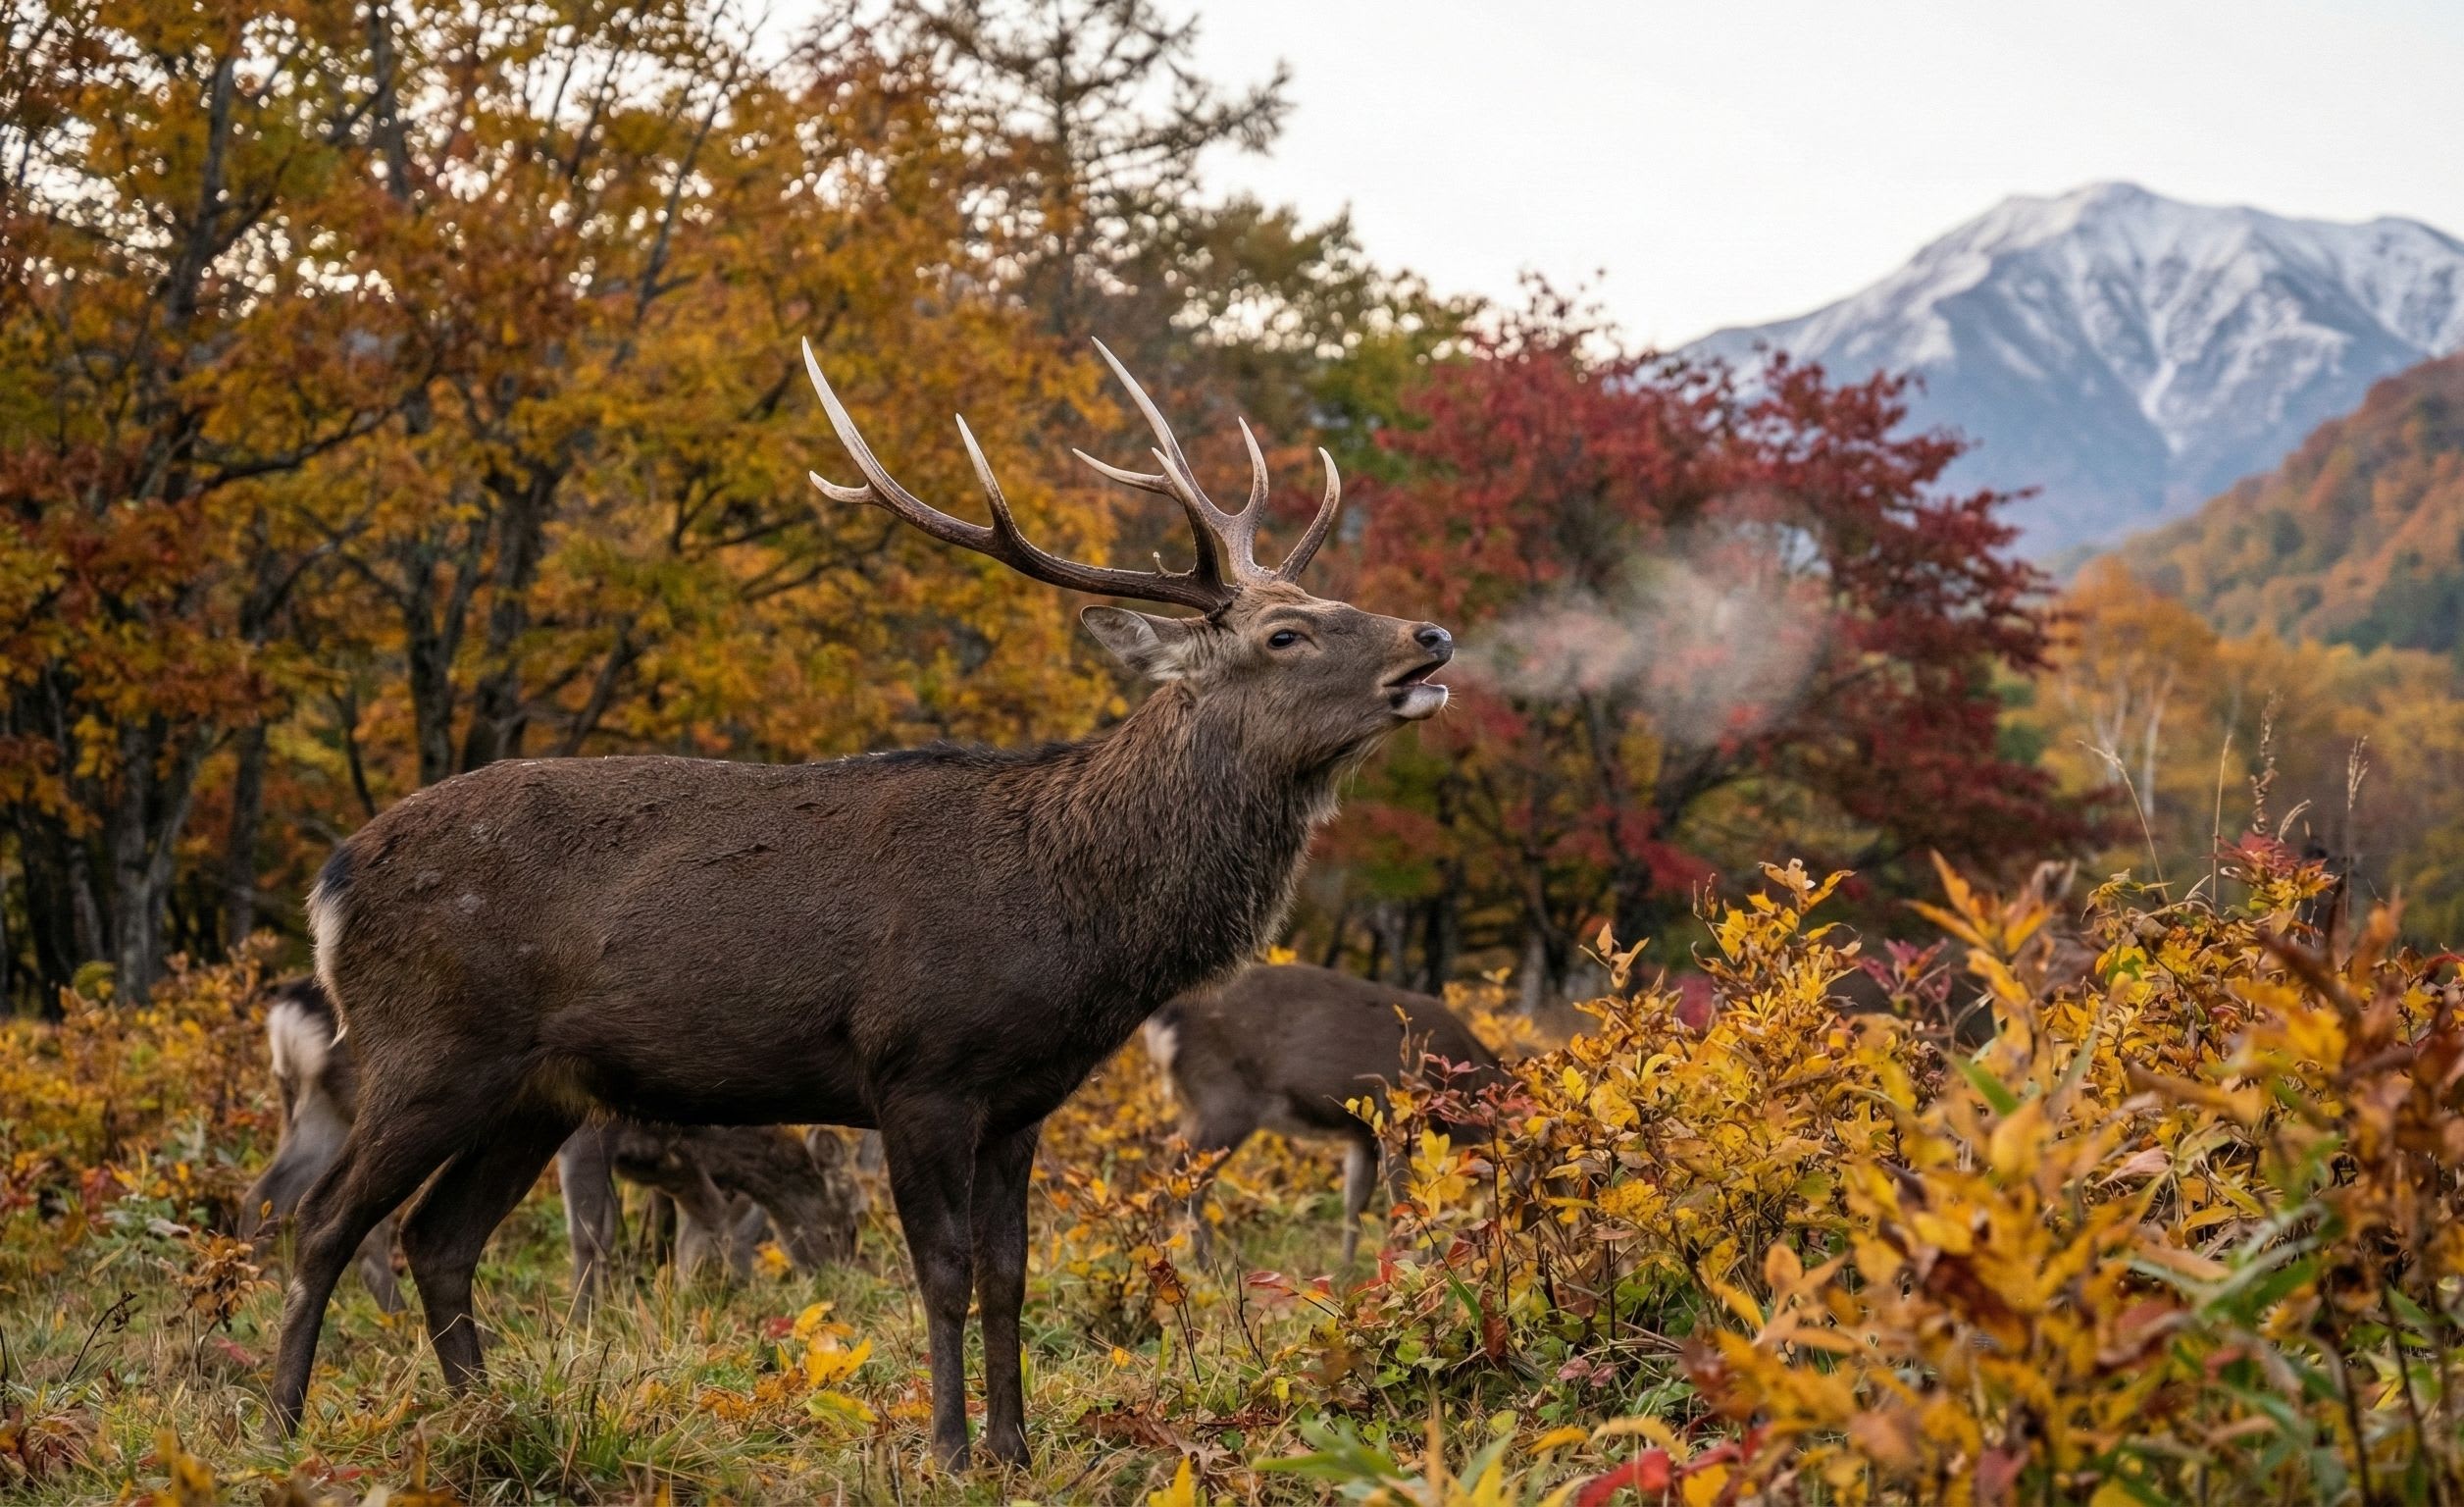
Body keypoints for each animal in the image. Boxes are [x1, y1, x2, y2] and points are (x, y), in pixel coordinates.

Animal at [240, 977, 861, 1310]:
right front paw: (588, 1316)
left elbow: (698, 1217)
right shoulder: (596, 1132)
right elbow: (595, 1229)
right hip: (391, 1103)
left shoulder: (659, 1158)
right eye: (844, 1224)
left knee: (266, 1196)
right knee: (362, 1223)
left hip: (313, 1111)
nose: (839, 1278)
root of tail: (288, 1013)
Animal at [1144, 963, 1506, 1264]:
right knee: (1182, 1186)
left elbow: (1354, 1206)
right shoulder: (1394, 1118)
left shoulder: (1363, 1135)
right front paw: (1424, 1267)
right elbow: (1403, 1201)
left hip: (1200, 1104)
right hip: (1223, 1101)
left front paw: (1347, 1273)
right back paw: (1206, 1267)